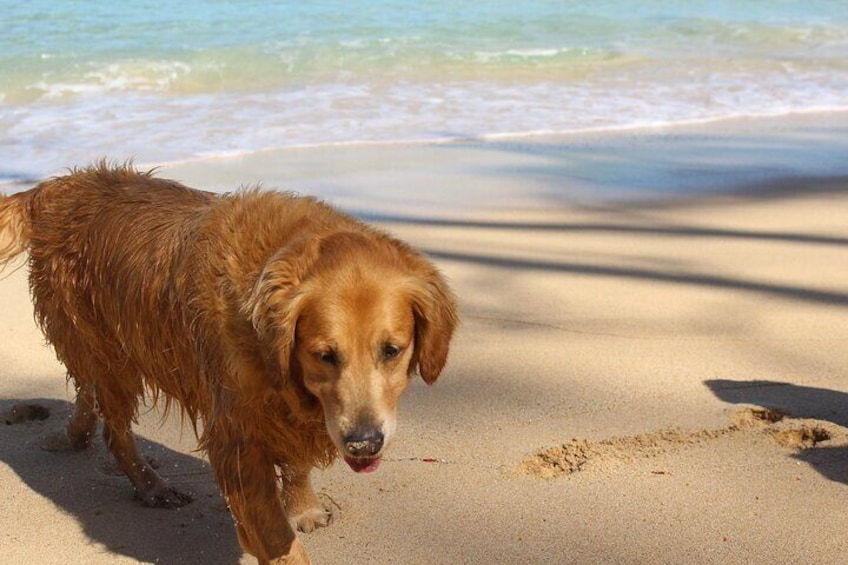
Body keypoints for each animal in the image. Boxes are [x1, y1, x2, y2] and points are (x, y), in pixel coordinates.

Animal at [0, 161, 458, 560]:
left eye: (392, 350)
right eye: (325, 355)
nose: (364, 443)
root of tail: (55, 186)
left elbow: (296, 464)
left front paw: (304, 507)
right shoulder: (237, 441)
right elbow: (276, 538)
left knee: (86, 389)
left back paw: (76, 434)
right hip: (111, 352)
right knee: (114, 427)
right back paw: (151, 486)